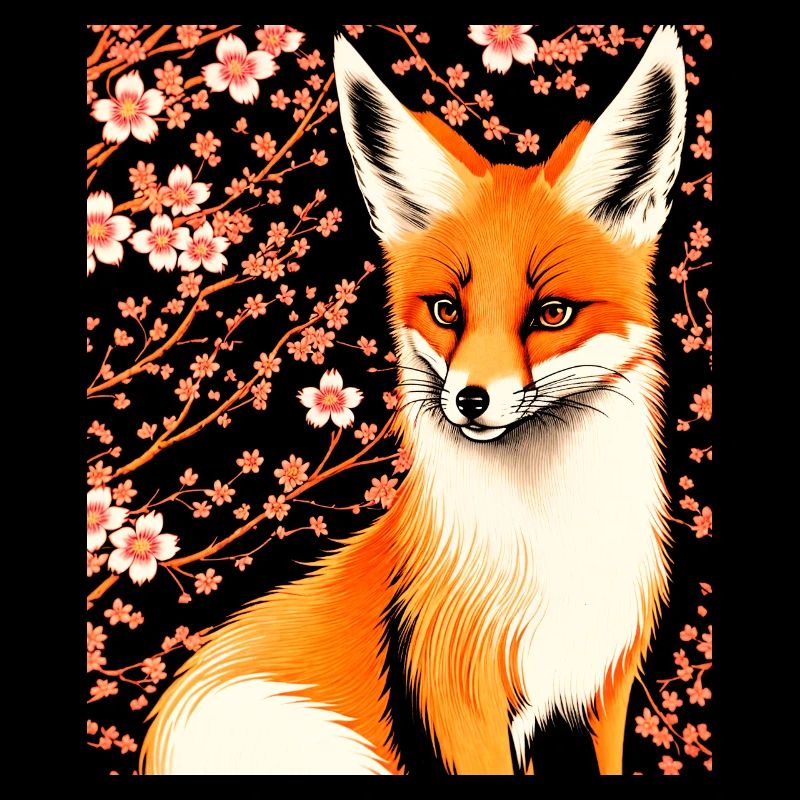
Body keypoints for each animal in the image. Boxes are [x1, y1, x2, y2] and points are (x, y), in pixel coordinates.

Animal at [142, 26, 687, 775]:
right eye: (446, 310)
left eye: (551, 314)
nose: (471, 399)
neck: (549, 548)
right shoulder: (457, 692)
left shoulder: (605, 686)